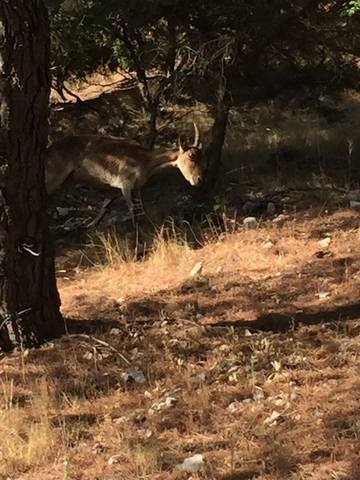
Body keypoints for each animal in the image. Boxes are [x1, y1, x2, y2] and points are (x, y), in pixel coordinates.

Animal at [45, 122, 202, 227]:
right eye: (191, 156)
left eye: (202, 155)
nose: (198, 180)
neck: (143, 160)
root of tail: (48, 151)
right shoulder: (125, 184)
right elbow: (132, 209)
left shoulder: (129, 188)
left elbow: (137, 208)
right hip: (53, 178)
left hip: (66, 182)